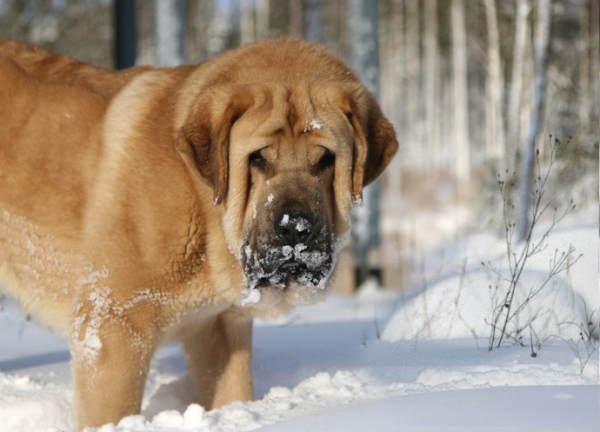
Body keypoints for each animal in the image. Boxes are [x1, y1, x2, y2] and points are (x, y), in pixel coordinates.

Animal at [0, 38, 398, 430]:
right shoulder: (112, 327)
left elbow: (233, 391)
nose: (294, 226)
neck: (203, 203)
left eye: (326, 159)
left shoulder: (219, 327)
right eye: (257, 158)